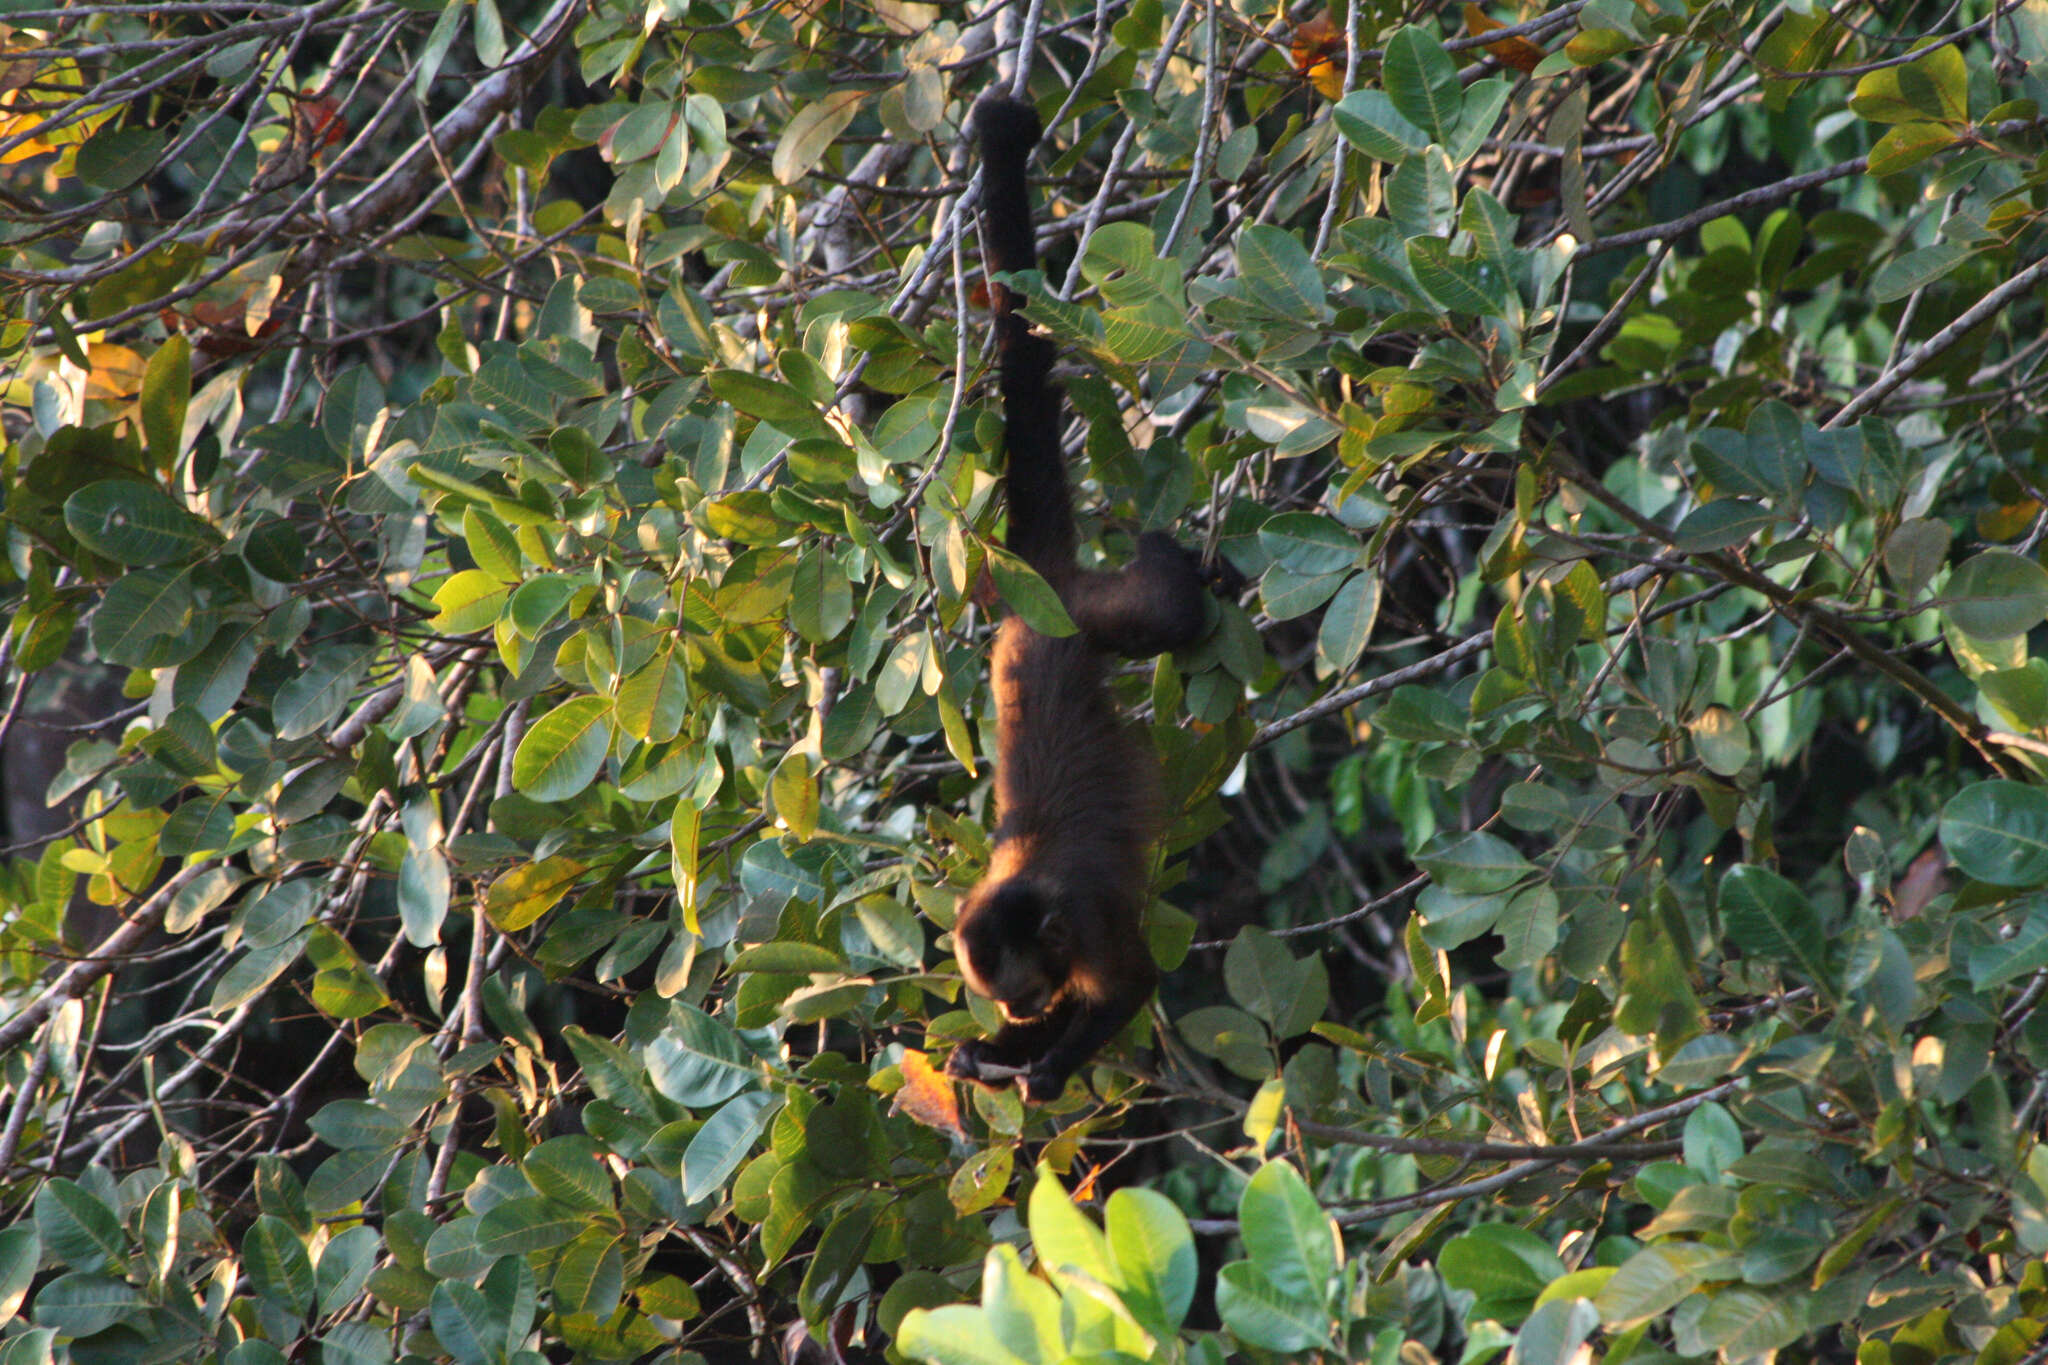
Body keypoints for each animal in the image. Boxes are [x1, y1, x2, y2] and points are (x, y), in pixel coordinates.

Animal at [942, 93, 1212, 1096]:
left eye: (1020, 984)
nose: (1017, 1013)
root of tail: (1037, 599)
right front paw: (990, 1056)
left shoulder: (1088, 920)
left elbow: (1132, 982)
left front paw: (1046, 1068)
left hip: (1094, 614)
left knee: (1172, 615)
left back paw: (1168, 552)